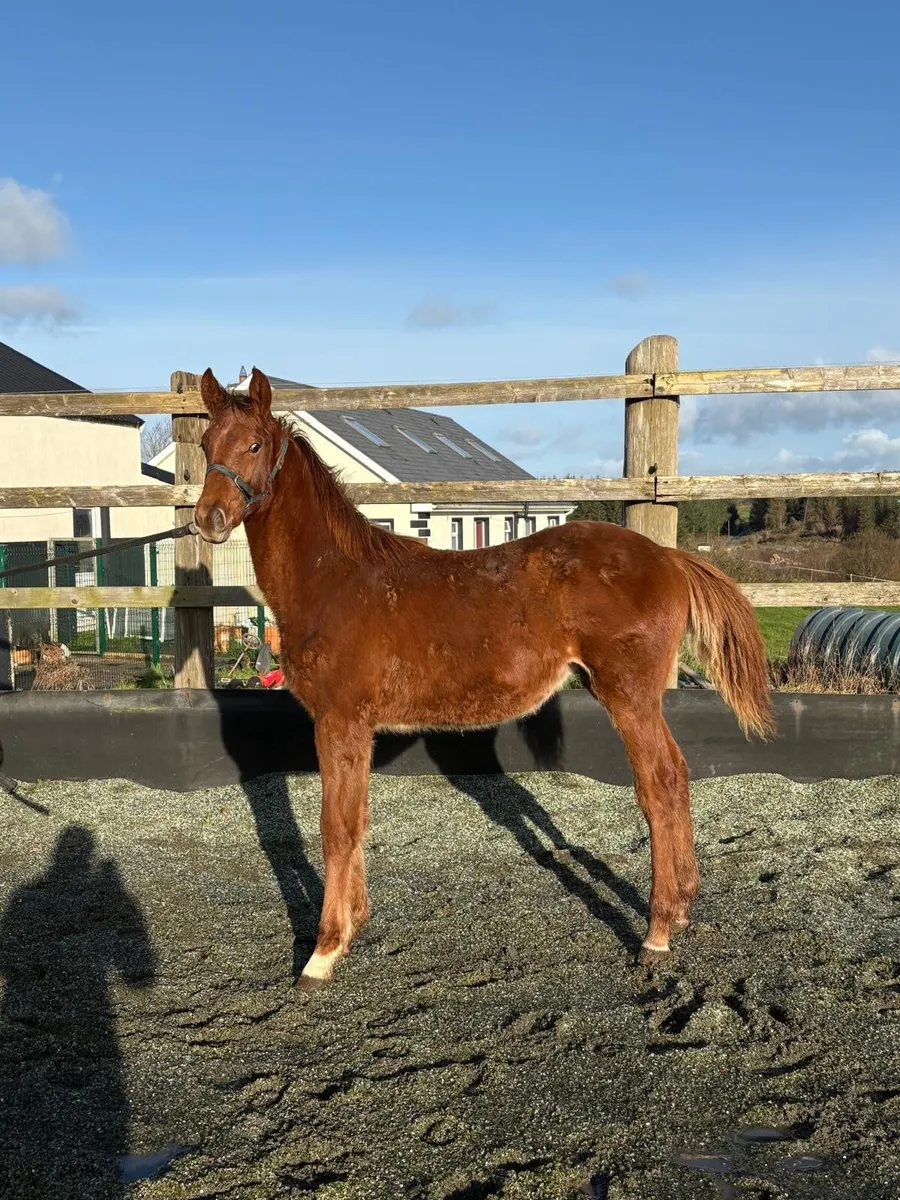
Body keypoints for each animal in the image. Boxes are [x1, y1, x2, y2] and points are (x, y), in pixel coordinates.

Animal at [194, 367, 774, 990]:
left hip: (630, 696)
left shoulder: (339, 720)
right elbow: (356, 821)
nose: (208, 519)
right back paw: (683, 909)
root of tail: (668, 559)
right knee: (679, 776)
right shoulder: (357, 729)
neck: (337, 581)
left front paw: (322, 953)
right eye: (204, 446)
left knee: (660, 784)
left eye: (255, 445)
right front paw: (351, 932)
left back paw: (657, 933)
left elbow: (335, 828)